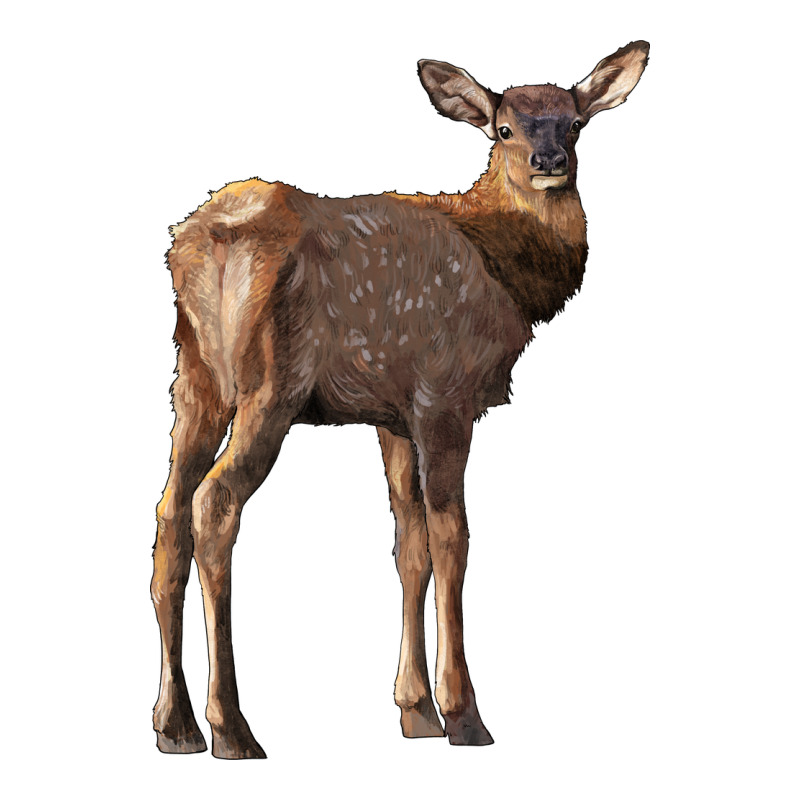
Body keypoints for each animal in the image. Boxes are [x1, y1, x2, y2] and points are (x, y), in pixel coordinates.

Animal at [151, 41, 649, 759]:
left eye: (575, 123)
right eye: (503, 129)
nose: (549, 162)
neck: (506, 272)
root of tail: (205, 239)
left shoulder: (390, 412)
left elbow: (408, 544)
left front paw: (414, 710)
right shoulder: (446, 393)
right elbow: (452, 538)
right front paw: (463, 714)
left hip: (194, 376)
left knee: (169, 512)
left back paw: (175, 724)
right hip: (270, 382)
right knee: (214, 503)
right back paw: (232, 726)